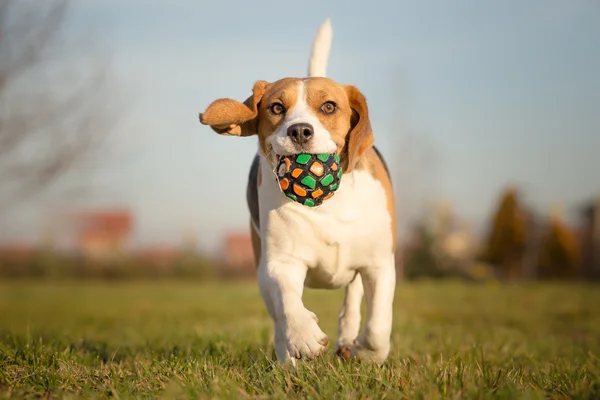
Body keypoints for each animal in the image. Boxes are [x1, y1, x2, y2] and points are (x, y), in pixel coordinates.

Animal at [199, 18, 396, 366]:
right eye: (277, 107)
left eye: (329, 106)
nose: (300, 130)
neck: (328, 203)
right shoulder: (281, 261)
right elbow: (289, 302)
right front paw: (304, 338)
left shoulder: (380, 263)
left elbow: (377, 326)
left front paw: (368, 354)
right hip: (261, 269)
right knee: (278, 316)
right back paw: (288, 359)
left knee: (353, 302)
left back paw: (348, 341)